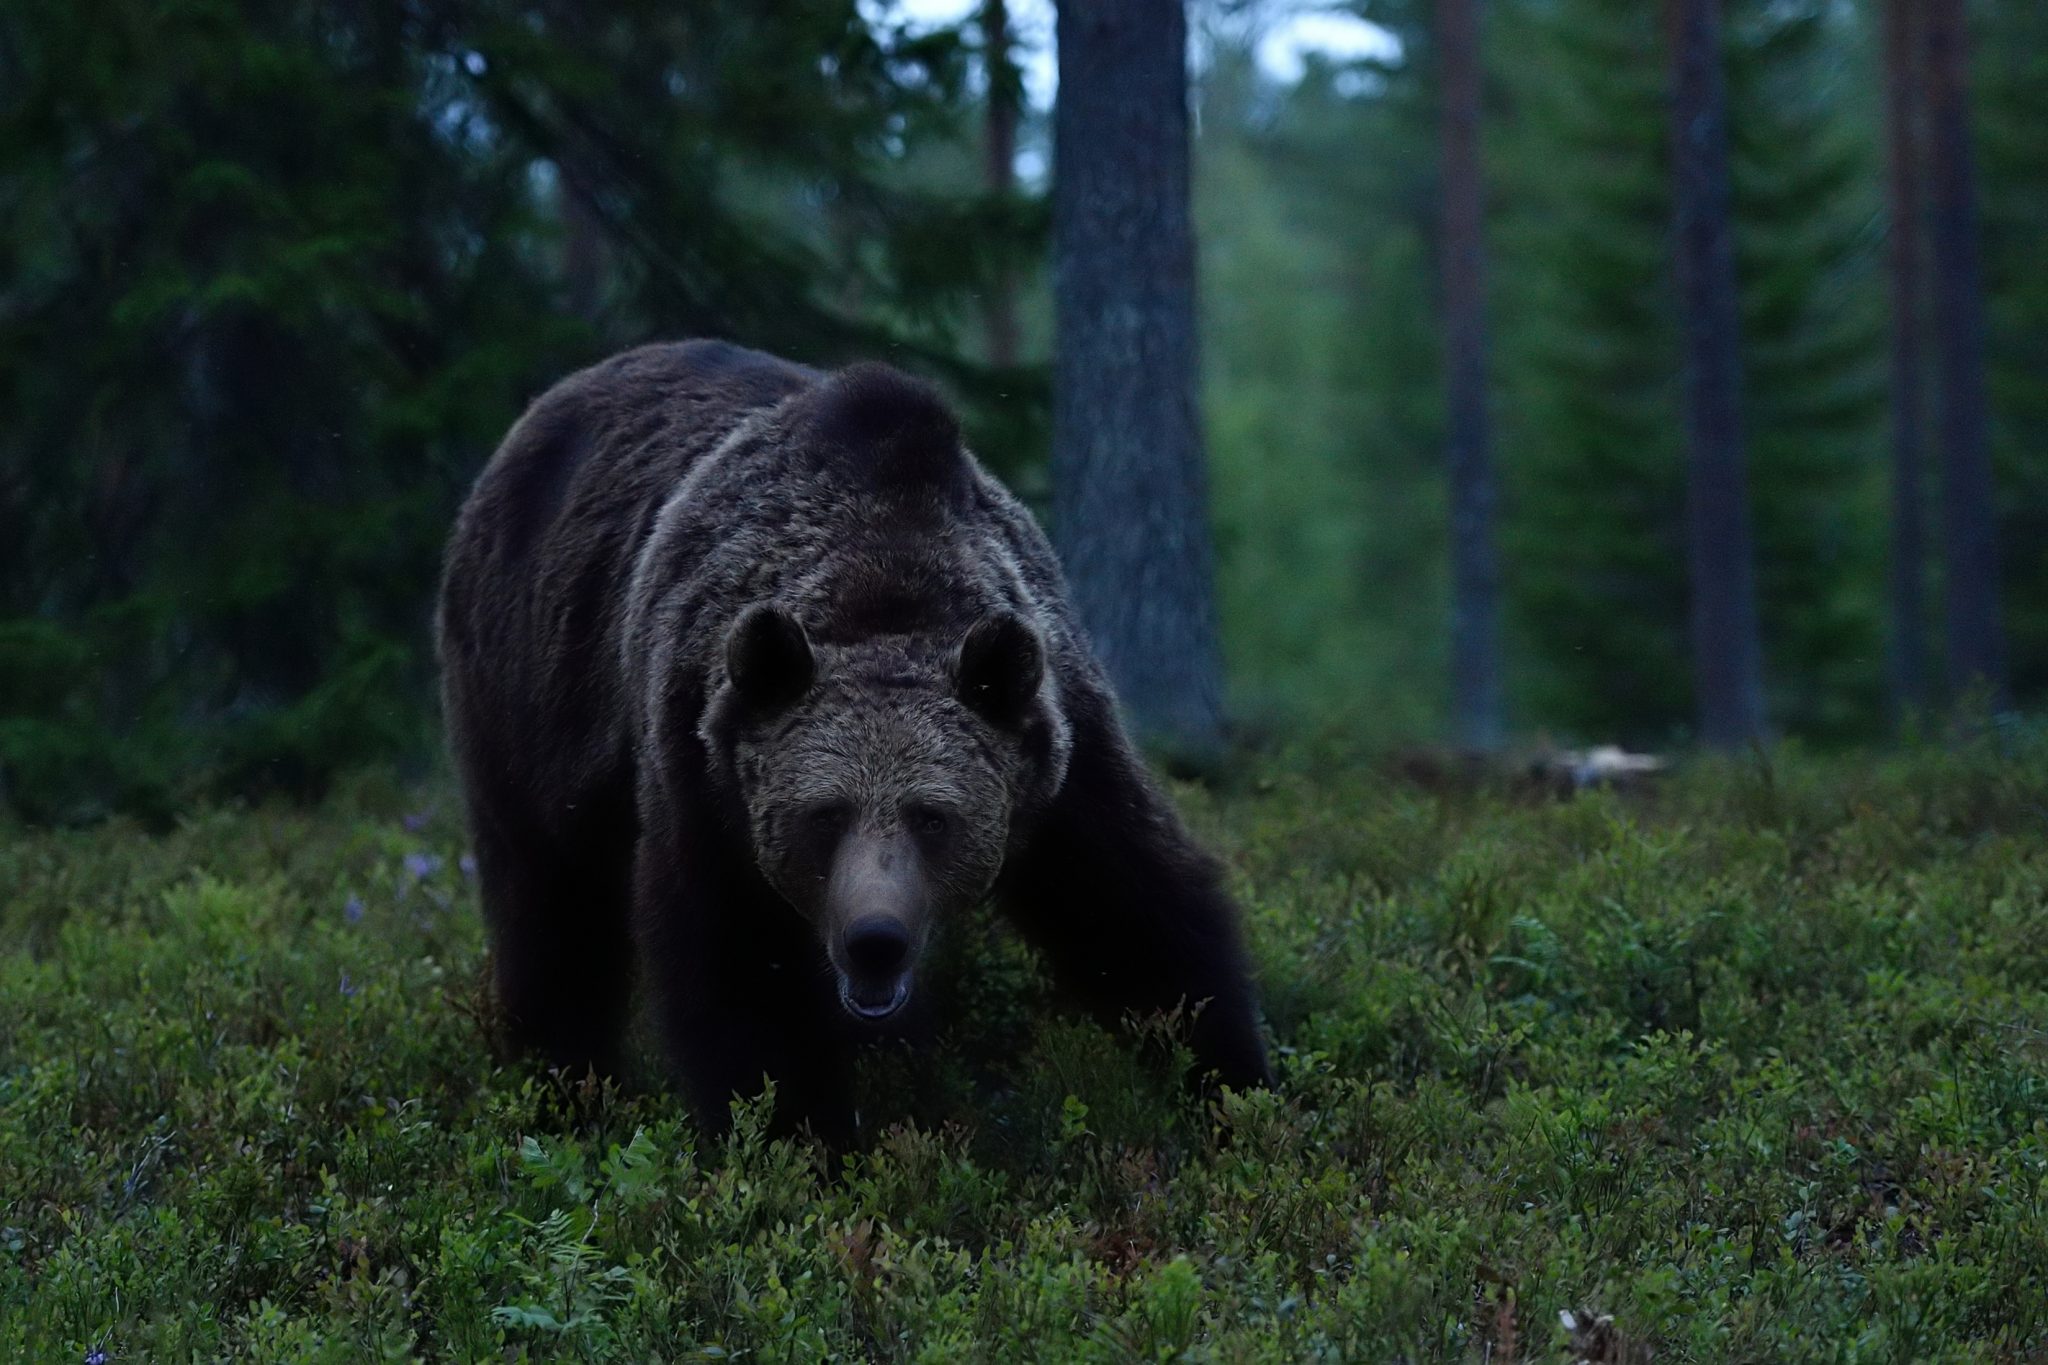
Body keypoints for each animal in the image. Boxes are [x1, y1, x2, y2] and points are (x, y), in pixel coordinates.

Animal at [440, 339, 1269, 1146]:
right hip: (526, 694)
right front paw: (796, 1137)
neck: (883, 585)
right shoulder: (707, 781)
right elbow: (740, 978)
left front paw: (1234, 1085)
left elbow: (1140, 915)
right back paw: (560, 1084)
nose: (876, 938)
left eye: (934, 816)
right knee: (552, 906)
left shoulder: (1059, 758)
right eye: (824, 813)